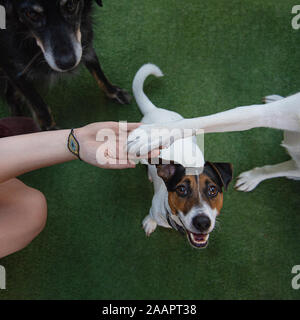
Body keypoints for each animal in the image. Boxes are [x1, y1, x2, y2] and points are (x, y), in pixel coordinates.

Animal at [0, 0, 131, 130]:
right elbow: (38, 104)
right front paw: (49, 129)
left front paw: (113, 91)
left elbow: (97, 68)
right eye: (31, 14)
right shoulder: (11, 66)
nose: (67, 63)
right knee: (9, 96)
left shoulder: (83, 41)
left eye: (70, 5)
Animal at [132, 63, 233, 249]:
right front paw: (150, 222)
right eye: (181, 189)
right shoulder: (154, 208)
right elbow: (151, 216)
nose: (202, 222)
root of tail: (154, 110)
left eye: (213, 190)